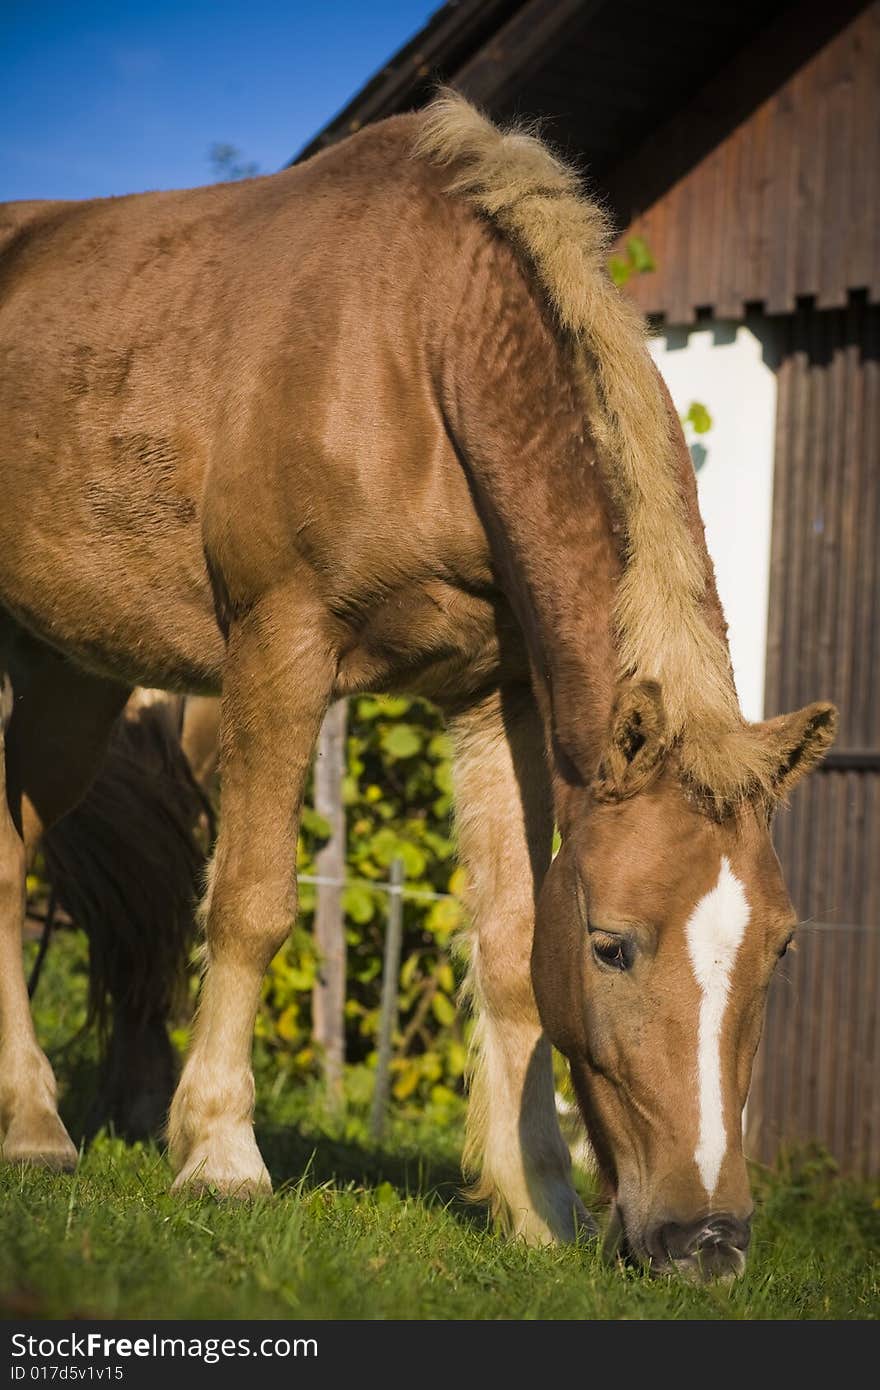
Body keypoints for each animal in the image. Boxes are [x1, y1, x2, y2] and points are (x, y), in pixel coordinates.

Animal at [1, 89, 839, 1278]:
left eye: (781, 946)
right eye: (613, 946)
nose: (706, 1243)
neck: (419, 344)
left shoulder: (501, 699)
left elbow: (509, 948)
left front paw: (536, 1202)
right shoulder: (280, 645)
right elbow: (251, 900)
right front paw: (218, 1154)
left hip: (70, 674)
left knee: (9, 851)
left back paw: (29, 1121)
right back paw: (38, 1127)